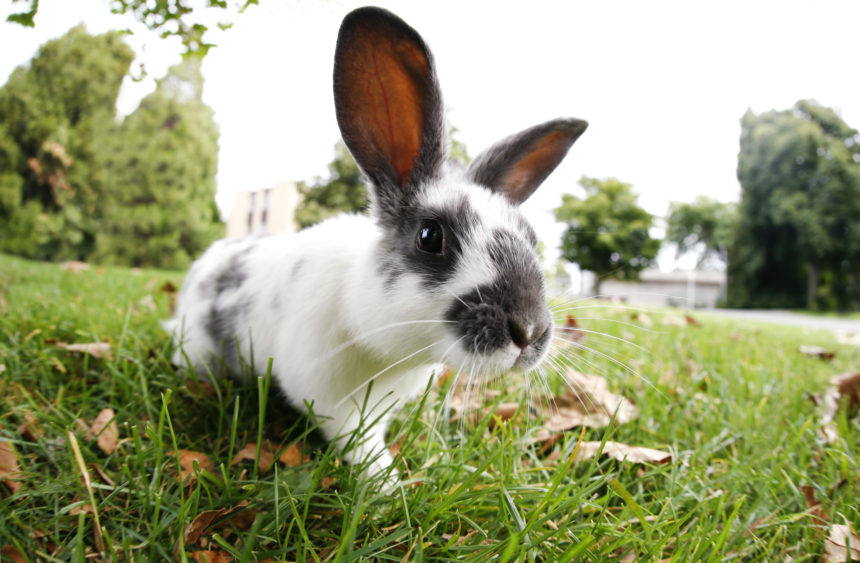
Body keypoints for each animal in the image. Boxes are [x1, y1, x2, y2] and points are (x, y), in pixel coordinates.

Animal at [165, 6, 588, 478]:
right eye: (430, 236)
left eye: (530, 237)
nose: (529, 332)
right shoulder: (330, 398)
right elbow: (359, 444)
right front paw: (388, 484)